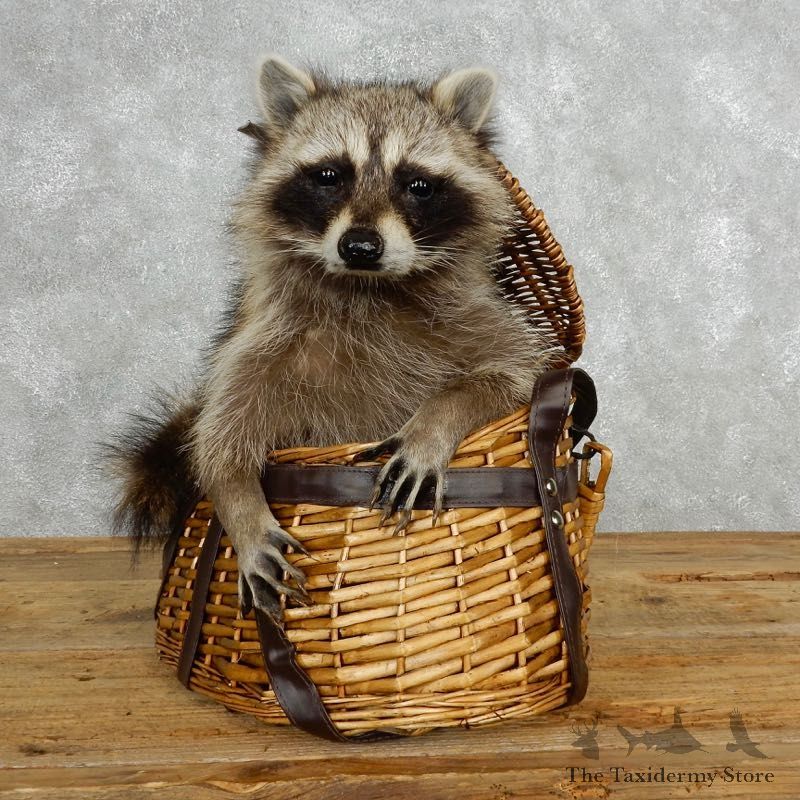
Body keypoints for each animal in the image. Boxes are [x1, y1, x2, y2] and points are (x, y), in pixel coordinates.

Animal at [108, 56, 557, 621]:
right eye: (329, 175)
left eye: (417, 184)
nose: (360, 247)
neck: (365, 287)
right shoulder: (260, 338)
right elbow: (216, 436)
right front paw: (239, 502)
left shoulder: (476, 316)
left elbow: (518, 374)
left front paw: (435, 421)